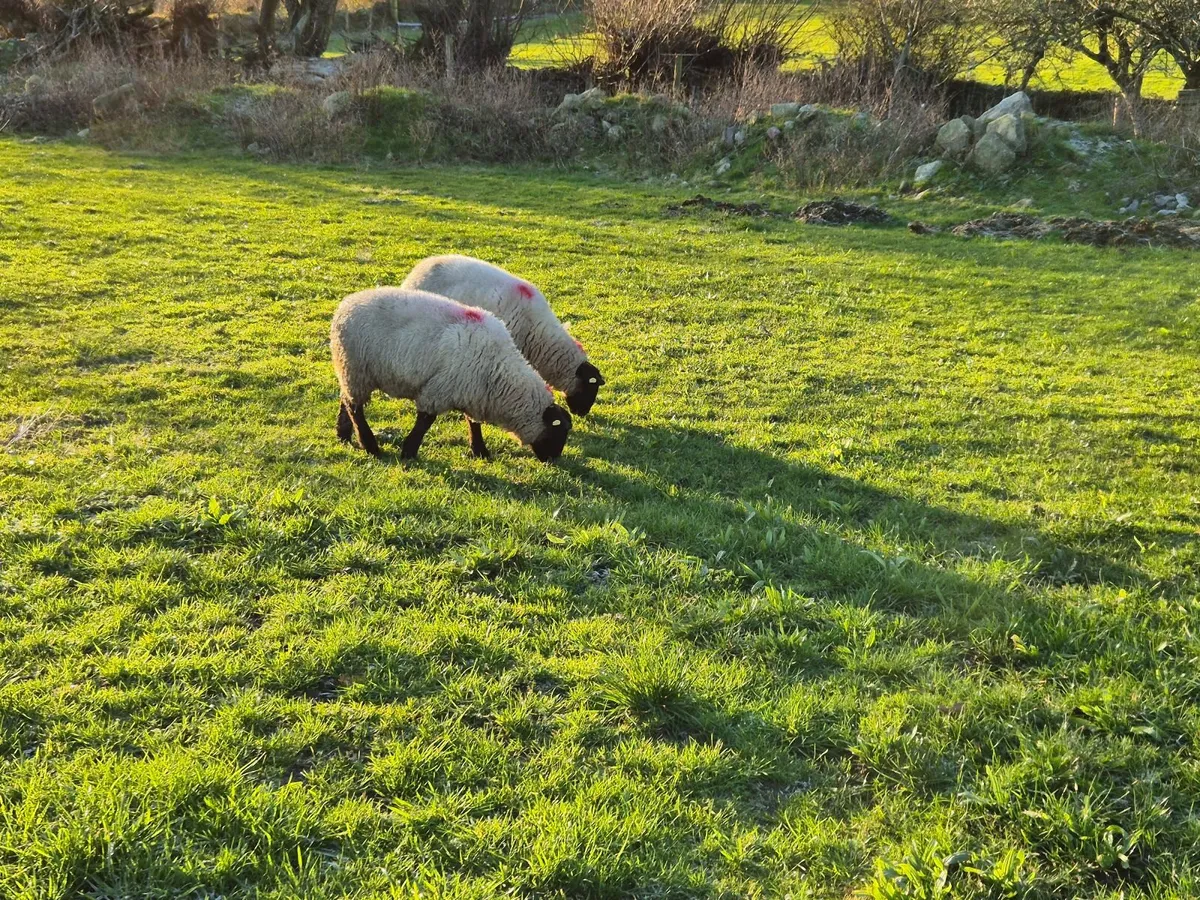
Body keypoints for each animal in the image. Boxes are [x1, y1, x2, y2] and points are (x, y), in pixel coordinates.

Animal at [330, 287, 572, 462]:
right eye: (558, 433)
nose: (553, 461)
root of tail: (346, 303)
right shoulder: (439, 390)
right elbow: (426, 421)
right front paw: (409, 452)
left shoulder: (472, 391)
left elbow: (473, 422)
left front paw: (480, 450)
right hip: (356, 368)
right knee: (355, 407)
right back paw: (370, 445)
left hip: (349, 370)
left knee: (345, 398)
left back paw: (343, 435)